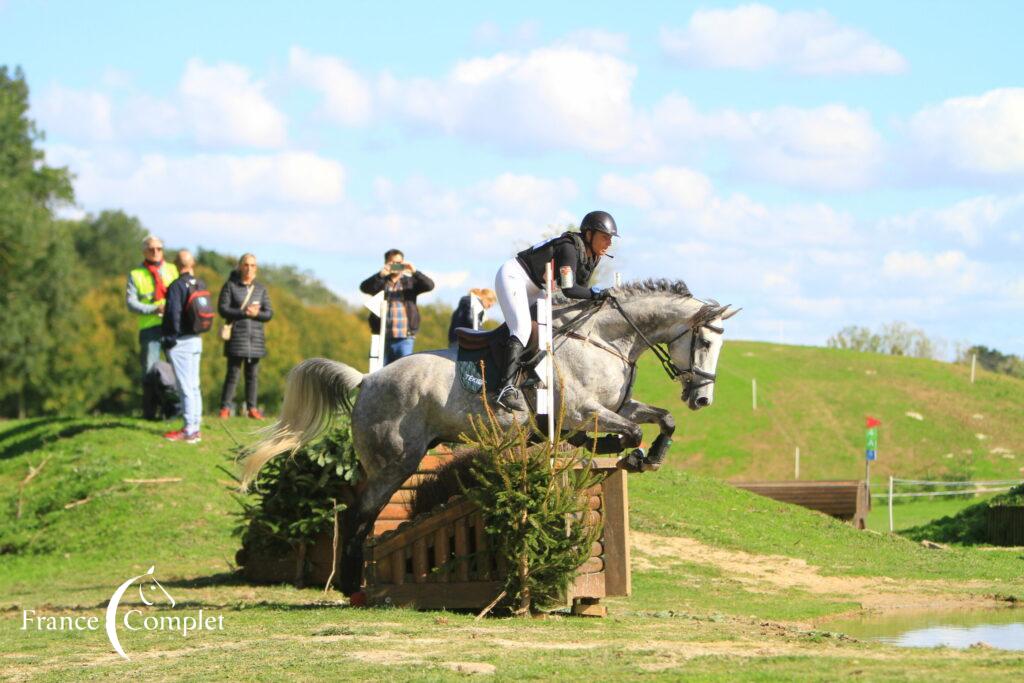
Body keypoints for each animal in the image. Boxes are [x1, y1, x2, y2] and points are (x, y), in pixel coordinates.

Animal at [239, 280, 737, 593]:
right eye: (705, 342)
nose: (703, 398)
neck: (604, 339)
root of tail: (368, 379)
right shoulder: (583, 412)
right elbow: (628, 430)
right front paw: (627, 453)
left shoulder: (614, 407)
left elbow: (662, 419)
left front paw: (652, 454)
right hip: (395, 463)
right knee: (359, 514)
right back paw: (351, 586)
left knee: (361, 513)